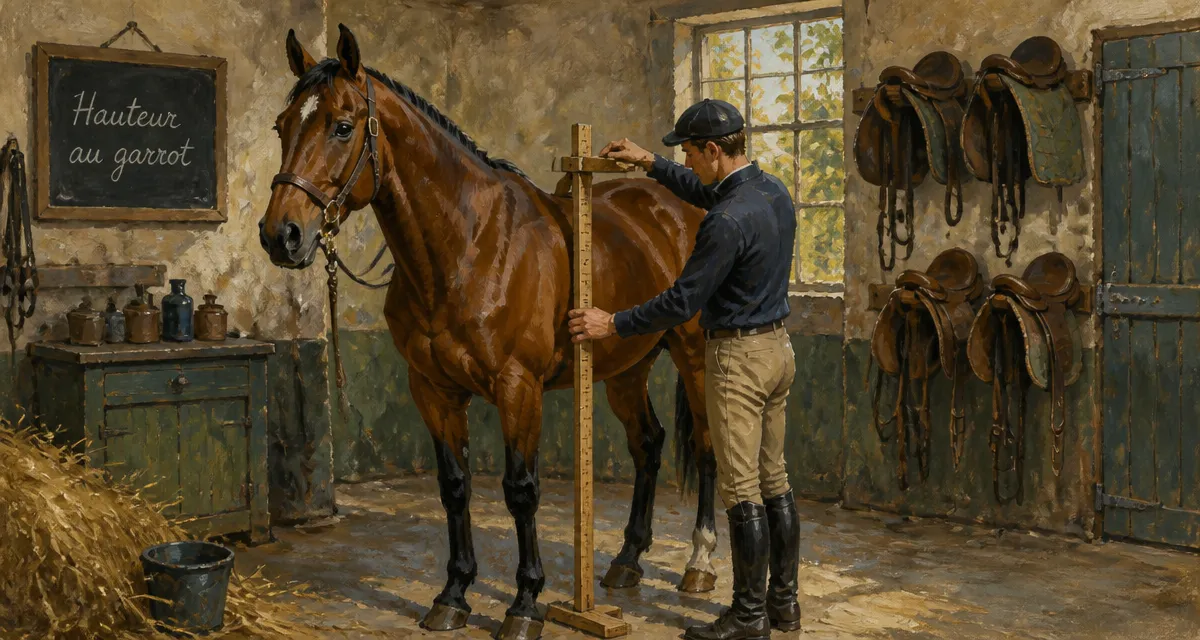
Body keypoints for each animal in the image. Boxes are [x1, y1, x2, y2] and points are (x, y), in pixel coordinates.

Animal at [259, 24, 721, 639]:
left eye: (341, 125)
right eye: (282, 125)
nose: (280, 234)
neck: (469, 247)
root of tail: (685, 205)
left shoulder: (517, 388)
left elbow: (520, 491)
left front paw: (525, 603)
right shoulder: (432, 390)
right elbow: (454, 487)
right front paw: (454, 594)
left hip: (693, 353)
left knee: (710, 446)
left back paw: (700, 562)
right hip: (626, 366)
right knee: (647, 445)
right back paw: (626, 561)